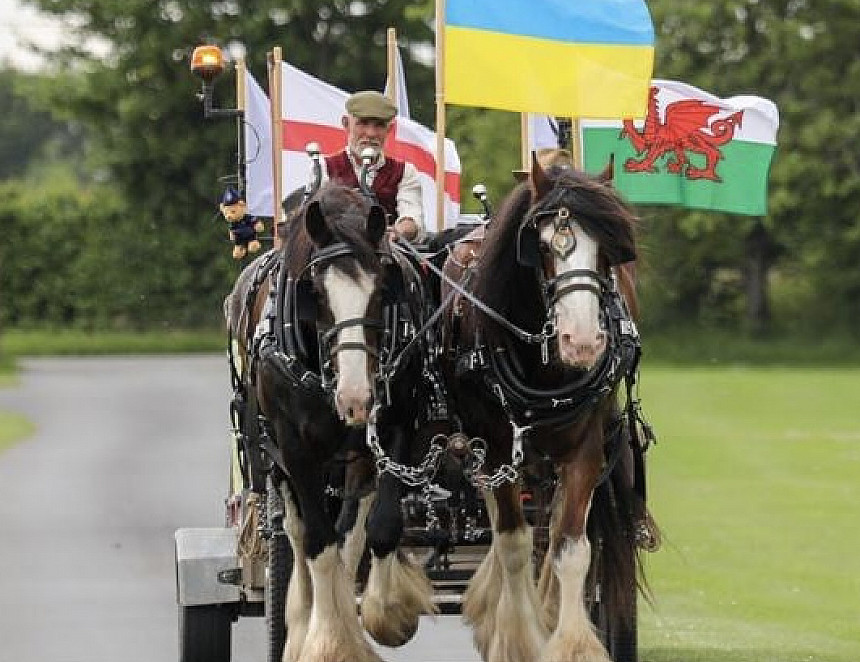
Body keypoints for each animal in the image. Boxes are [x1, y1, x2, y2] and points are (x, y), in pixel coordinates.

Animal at [225, 182, 436, 662]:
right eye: (315, 295)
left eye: (381, 290)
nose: (356, 398)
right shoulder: (295, 448)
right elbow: (318, 543)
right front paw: (325, 642)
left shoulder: (396, 428)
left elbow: (377, 528)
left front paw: (386, 615)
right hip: (276, 459)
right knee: (299, 532)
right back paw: (302, 624)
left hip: (353, 456)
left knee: (350, 534)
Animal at [444, 160, 652, 662]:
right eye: (540, 247)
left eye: (608, 250)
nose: (583, 341)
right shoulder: (497, 448)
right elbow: (513, 542)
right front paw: (516, 637)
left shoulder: (585, 449)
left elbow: (570, 547)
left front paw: (571, 641)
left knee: (552, 526)